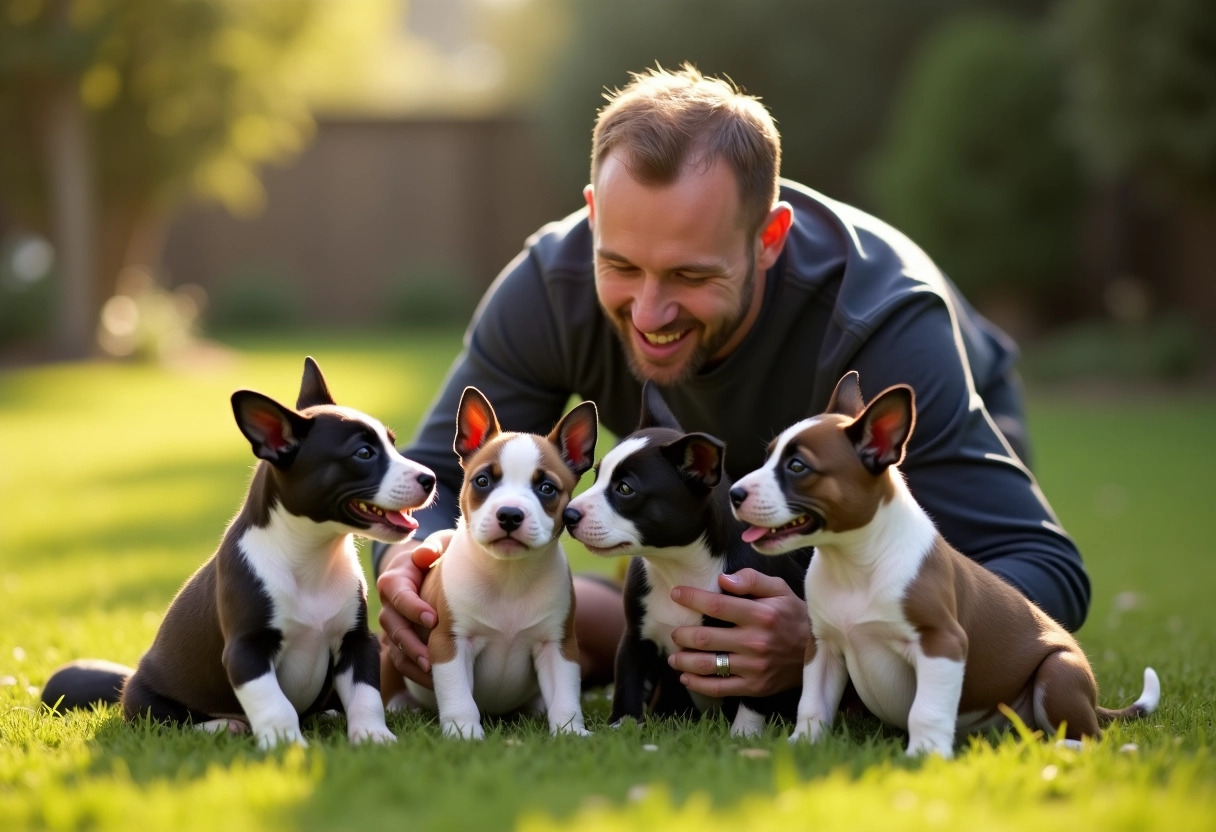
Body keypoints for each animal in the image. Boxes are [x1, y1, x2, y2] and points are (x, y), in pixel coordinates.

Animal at [117, 357, 437, 749]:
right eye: (364, 453)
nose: (430, 478)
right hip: (139, 693)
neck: (313, 554)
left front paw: (373, 735)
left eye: (392, 444)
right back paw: (223, 725)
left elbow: (366, 695)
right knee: (168, 718)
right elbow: (274, 703)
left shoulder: (357, 642)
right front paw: (286, 744)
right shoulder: (247, 651)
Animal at [403, 386, 598, 739]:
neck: (509, 574)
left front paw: (570, 732)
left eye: (546, 488)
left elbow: (566, 695)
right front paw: (464, 732)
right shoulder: (450, 643)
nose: (509, 514)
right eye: (482, 481)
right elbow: (458, 695)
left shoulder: (558, 645)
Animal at [564, 381, 812, 734]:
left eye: (625, 489)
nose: (568, 514)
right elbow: (628, 684)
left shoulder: (758, 643)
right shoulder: (636, 639)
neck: (678, 566)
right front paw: (620, 731)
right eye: (596, 476)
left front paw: (743, 735)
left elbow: (754, 697)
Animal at [724, 374, 1152, 759]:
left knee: (1092, 738)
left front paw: (924, 754)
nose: (733, 493)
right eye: (768, 457)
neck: (853, 562)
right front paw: (803, 743)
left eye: (797, 467)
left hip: (1058, 671)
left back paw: (1057, 747)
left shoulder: (941, 643)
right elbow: (812, 704)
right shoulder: (823, 647)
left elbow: (926, 710)